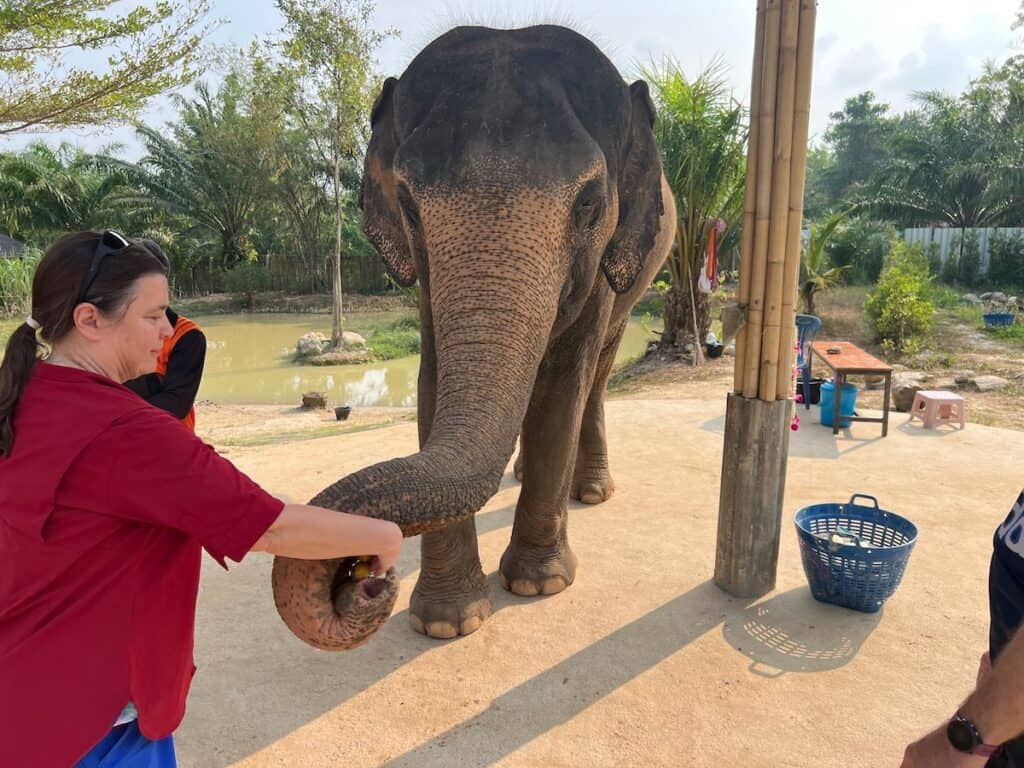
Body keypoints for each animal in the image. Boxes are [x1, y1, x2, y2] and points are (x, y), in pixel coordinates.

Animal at [271, 24, 677, 649]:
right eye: (408, 204)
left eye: (589, 204)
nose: (362, 575)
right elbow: (432, 384)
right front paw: (446, 622)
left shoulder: (607, 263)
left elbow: (562, 387)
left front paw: (539, 585)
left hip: (639, 281)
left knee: (598, 376)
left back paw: (589, 493)